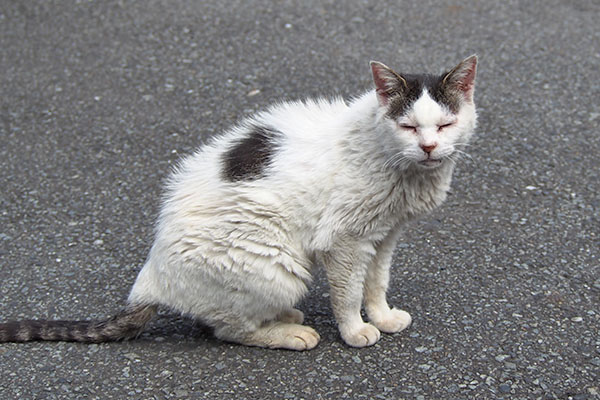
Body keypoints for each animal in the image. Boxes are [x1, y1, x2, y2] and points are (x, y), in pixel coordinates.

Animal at [0, 55, 478, 350]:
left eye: (445, 124)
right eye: (408, 126)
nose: (430, 147)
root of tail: (149, 280)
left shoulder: (384, 235)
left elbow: (376, 283)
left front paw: (380, 317)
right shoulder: (344, 242)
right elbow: (347, 294)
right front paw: (355, 331)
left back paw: (284, 318)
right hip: (276, 264)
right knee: (228, 329)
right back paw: (288, 333)